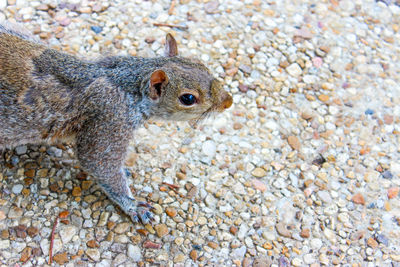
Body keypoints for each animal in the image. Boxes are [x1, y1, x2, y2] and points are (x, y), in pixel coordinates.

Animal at [0, 22, 231, 224]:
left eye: (201, 64)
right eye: (188, 98)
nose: (228, 101)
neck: (125, 82)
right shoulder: (110, 116)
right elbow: (98, 161)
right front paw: (131, 204)